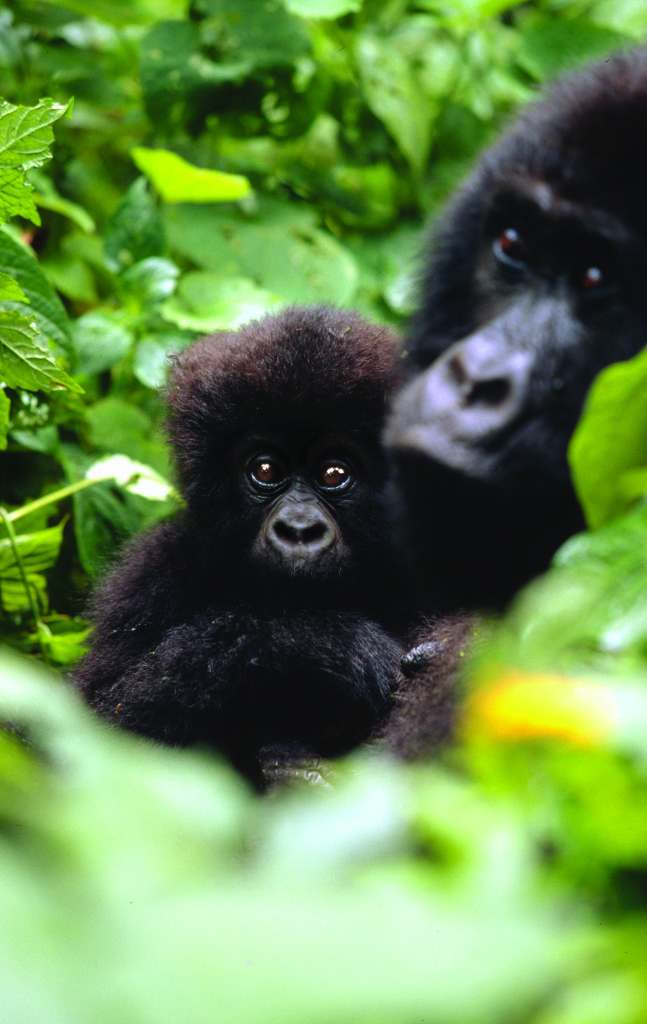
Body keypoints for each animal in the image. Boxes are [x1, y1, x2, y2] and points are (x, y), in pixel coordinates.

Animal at [72, 303, 413, 782]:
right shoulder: (152, 571)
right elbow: (96, 726)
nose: (298, 529)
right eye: (266, 470)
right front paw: (328, 644)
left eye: (334, 474)